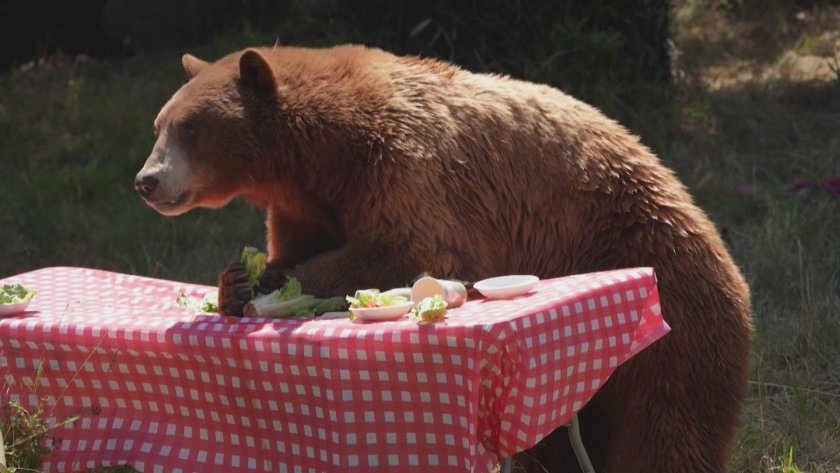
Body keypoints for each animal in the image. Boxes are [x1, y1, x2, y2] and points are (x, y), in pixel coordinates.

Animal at [135, 45, 752, 472]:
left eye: (192, 128)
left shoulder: (401, 162)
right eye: (160, 124)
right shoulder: (306, 202)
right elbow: (295, 245)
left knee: (667, 424)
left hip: (668, 294)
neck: (320, 153)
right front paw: (239, 279)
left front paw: (278, 288)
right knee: (554, 442)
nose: (147, 180)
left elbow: (413, 246)